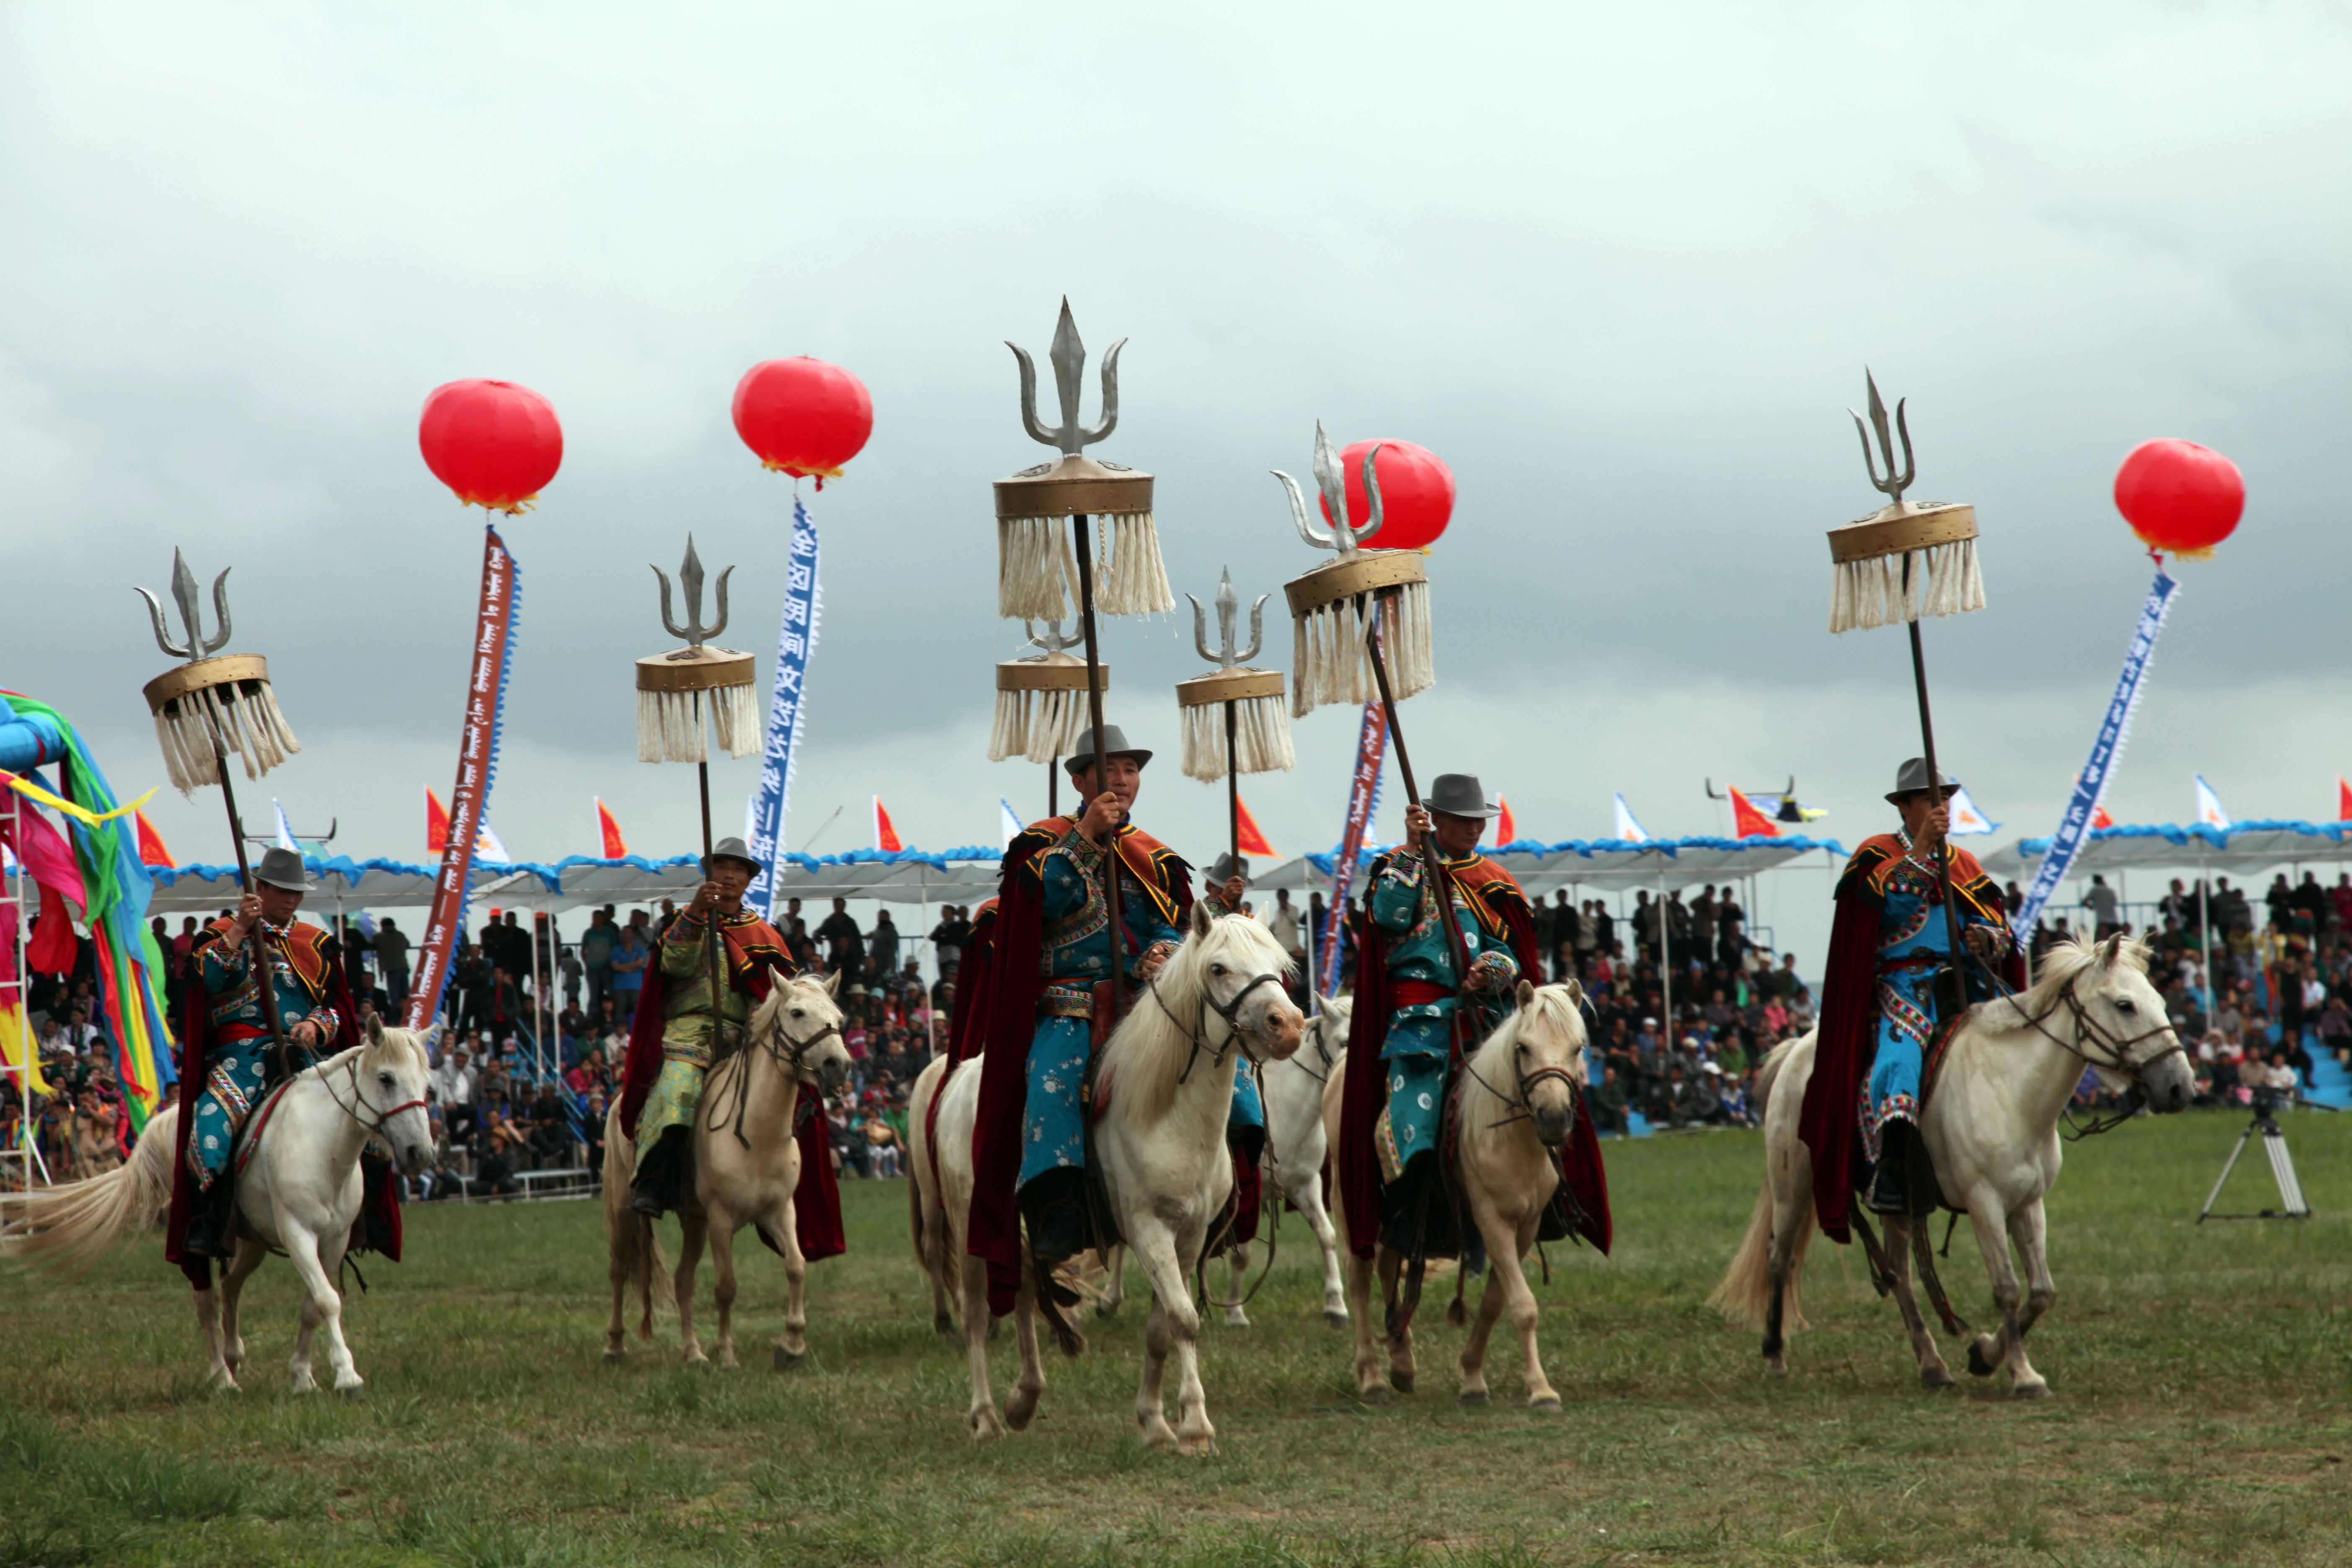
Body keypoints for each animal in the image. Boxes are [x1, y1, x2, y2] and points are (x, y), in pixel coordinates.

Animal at [1, 1016, 436, 1397]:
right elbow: (328, 1300)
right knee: (207, 1301)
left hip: (252, 1240)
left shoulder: (334, 1240)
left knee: (231, 1286)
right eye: (386, 1079)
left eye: (427, 1085)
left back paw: (233, 1356)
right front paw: (347, 1376)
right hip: (199, 1241)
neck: (323, 1145)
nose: (421, 1154)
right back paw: (222, 1378)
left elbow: (315, 1304)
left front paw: (302, 1377)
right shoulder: (298, 1233)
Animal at [602, 972, 851, 1371]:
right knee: (620, 1269)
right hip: (622, 1208)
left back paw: (693, 1354)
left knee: (682, 1281)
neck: (758, 1135)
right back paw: (615, 1347)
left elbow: (796, 1267)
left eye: (839, 1018)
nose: (838, 1065)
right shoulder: (721, 1218)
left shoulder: (780, 1212)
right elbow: (726, 1286)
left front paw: (791, 1345)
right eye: (796, 1012)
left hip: (694, 1221)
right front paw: (727, 1354)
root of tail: (618, 1103)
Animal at [914, 904, 1304, 1451]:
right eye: (1218, 968)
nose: (1287, 1026)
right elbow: (1185, 1319)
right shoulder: (1147, 1228)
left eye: (1278, 965)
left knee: (1026, 1289)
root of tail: (959, 1077)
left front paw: (1156, 1423)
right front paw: (1196, 1426)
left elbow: (1163, 1327)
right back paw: (987, 1416)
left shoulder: (1189, 1236)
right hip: (972, 1219)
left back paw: (1024, 1399)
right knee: (975, 1313)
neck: (1170, 1115)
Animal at [1324, 980, 1591, 1409]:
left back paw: (1402, 1362)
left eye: (1577, 1047)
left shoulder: (1526, 1227)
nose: (1553, 1118)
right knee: (1360, 1278)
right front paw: (1540, 1390)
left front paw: (1472, 1377)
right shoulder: (1492, 1220)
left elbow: (1495, 1303)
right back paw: (1372, 1377)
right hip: (1349, 1204)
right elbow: (1523, 1306)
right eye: (1523, 1047)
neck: (1509, 1139)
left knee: (1388, 1268)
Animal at [1711, 934, 2195, 1396]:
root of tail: (1797, 1049)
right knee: (1780, 1258)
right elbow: (2007, 1289)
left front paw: (1984, 1355)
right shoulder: (1985, 1203)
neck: (2013, 1090)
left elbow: (2041, 1292)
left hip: (1897, 1204)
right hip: (1792, 1183)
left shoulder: (2028, 1203)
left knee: (1900, 1274)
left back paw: (1932, 1365)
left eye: (2160, 1001)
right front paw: (2023, 1375)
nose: (2180, 1087)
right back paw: (1774, 1356)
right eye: (2125, 1004)